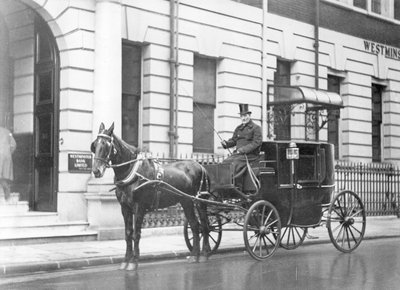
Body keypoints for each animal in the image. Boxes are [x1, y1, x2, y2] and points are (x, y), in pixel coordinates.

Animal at [91, 122, 212, 270]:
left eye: (106, 145)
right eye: (95, 145)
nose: (96, 171)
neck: (132, 172)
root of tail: (201, 166)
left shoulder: (139, 207)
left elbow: (136, 234)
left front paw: (133, 261)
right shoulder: (125, 208)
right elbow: (128, 233)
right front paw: (126, 260)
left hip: (200, 202)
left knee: (205, 225)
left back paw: (205, 253)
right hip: (186, 202)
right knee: (195, 225)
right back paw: (194, 255)